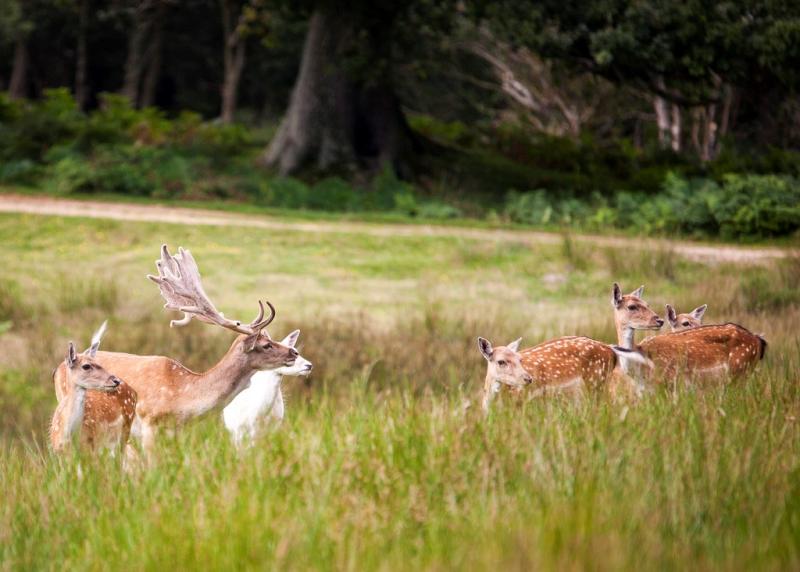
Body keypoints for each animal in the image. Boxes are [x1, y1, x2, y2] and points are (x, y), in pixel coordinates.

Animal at [50, 324, 138, 454]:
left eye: (98, 362)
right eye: (86, 366)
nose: (115, 380)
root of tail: (133, 391)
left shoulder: (92, 448)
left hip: (124, 432)